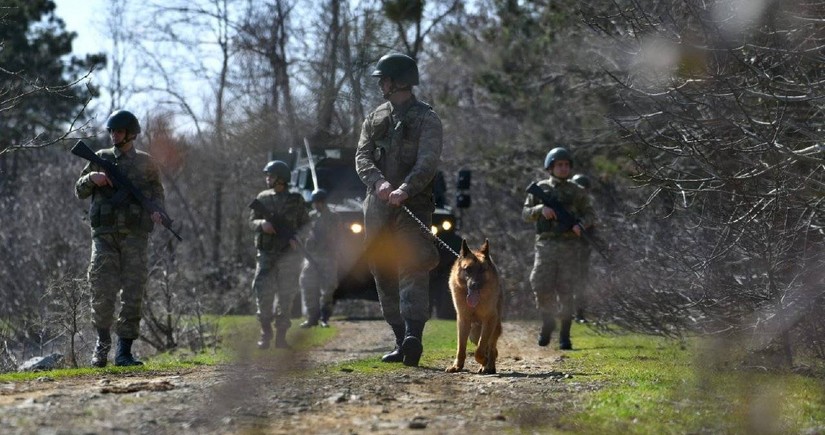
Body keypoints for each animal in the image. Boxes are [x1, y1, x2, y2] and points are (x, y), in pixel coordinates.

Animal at [444, 238, 502, 374]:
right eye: (468, 269)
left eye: (482, 270)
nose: (475, 285)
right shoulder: (463, 320)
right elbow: (461, 347)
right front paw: (457, 366)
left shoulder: (489, 320)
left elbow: (480, 349)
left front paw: (484, 361)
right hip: (474, 333)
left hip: (492, 328)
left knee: (491, 348)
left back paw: (488, 366)